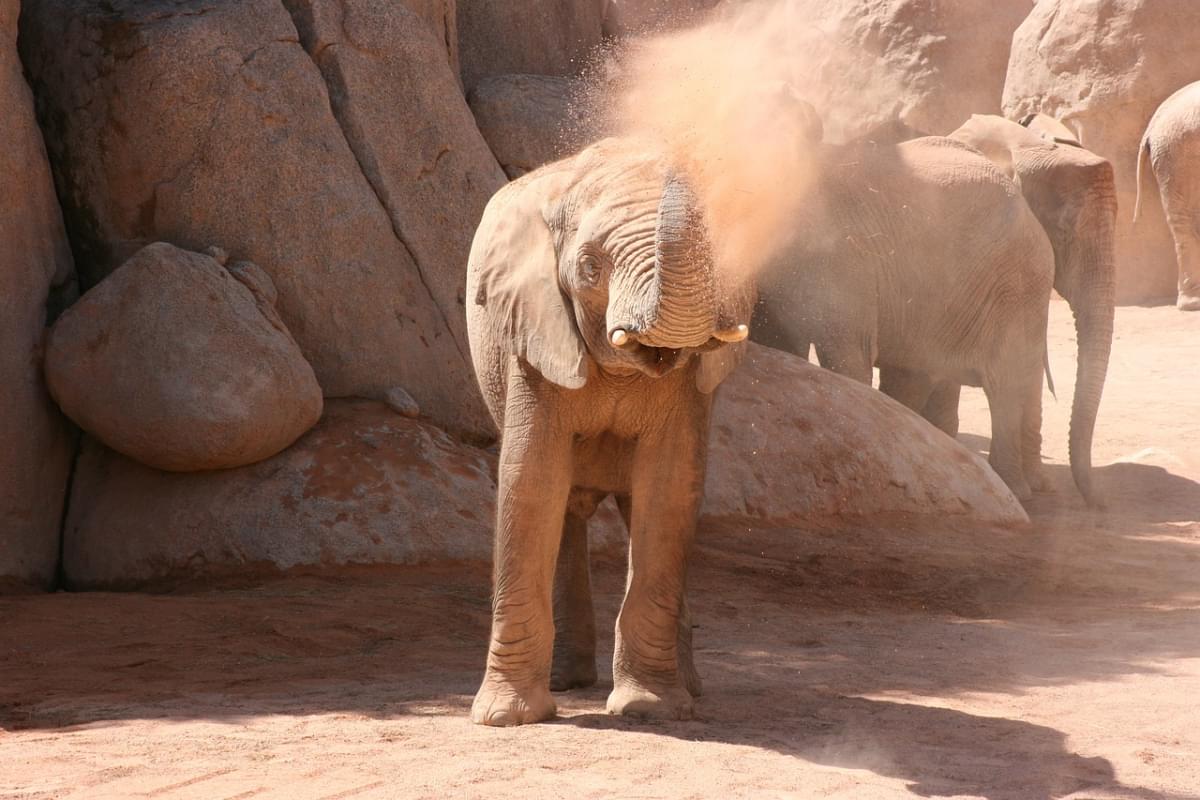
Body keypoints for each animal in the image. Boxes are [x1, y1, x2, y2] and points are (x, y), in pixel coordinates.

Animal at [465, 136, 753, 724]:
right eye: (590, 267)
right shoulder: (534, 332)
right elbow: (531, 480)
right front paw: (505, 719)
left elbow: (669, 488)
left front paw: (650, 709)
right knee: (565, 509)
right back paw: (568, 682)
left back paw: (689, 690)